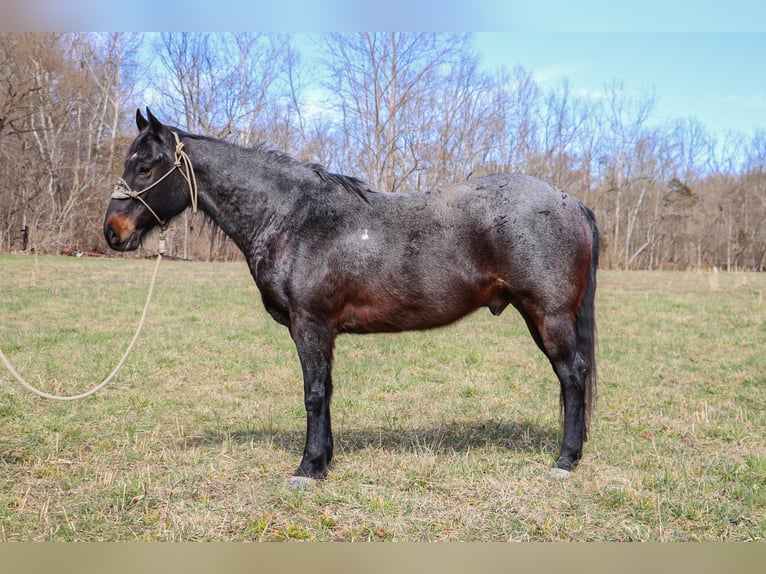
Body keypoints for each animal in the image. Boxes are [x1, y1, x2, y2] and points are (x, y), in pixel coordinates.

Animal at [103, 108, 600, 486]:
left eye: (145, 166)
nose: (112, 232)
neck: (292, 218)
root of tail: (571, 201)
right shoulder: (320, 332)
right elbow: (326, 391)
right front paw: (324, 459)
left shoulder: (310, 325)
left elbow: (313, 393)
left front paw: (307, 469)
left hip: (549, 315)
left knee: (572, 376)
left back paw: (565, 461)